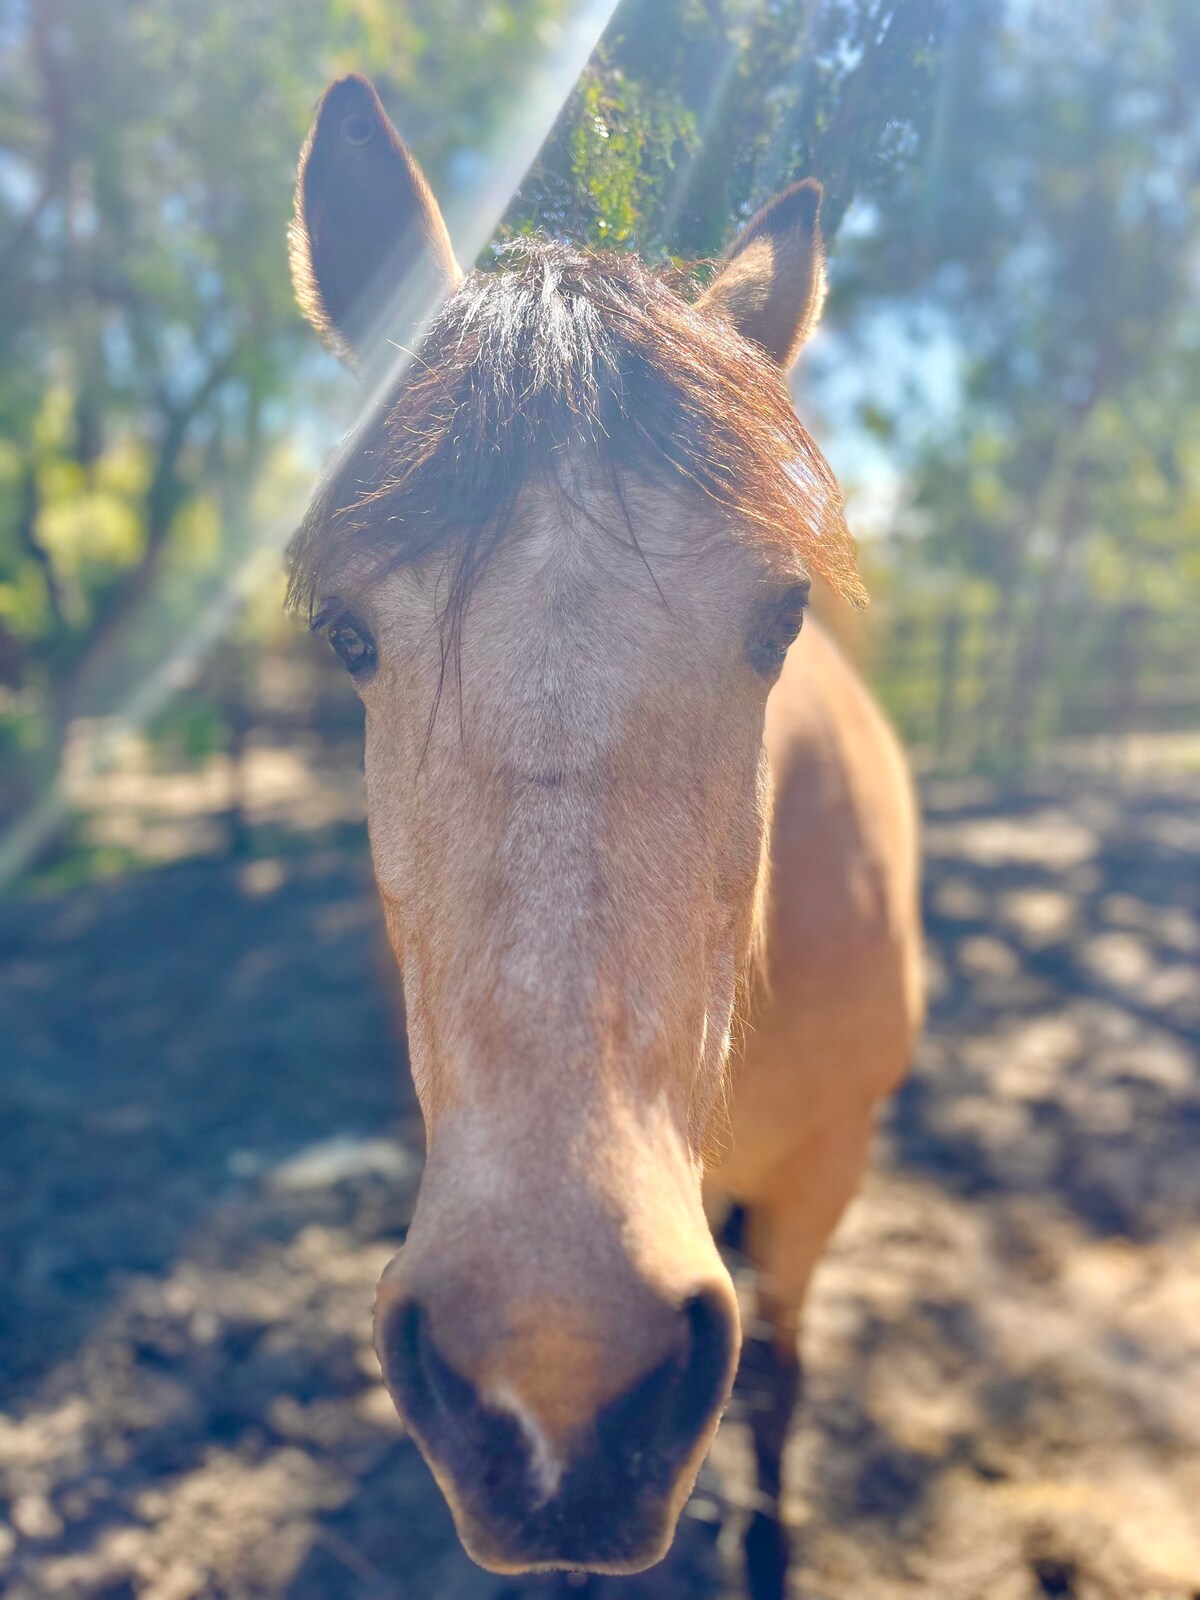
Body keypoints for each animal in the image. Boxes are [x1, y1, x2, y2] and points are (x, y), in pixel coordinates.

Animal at [286, 72, 928, 1600]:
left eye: (782, 620)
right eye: (348, 635)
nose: (554, 1378)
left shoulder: (825, 1183)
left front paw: (771, 1544)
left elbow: (781, 1380)